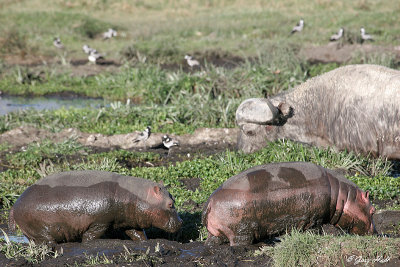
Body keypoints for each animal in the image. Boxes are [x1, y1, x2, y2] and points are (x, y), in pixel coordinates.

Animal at [8, 171, 183, 246]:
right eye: (170, 203)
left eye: (173, 199)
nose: (181, 222)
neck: (136, 195)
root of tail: (14, 205)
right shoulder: (100, 222)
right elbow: (90, 236)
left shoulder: (128, 221)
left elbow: (138, 234)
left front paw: (145, 243)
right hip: (40, 229)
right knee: (46, 241)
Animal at [202, 161, 376, 247]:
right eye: (373, 210)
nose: (376, 233)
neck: (343, 196)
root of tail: (209, 202)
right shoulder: (315, 218)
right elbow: (315, 229)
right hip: (241, 231)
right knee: (238, 243)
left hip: (216, 232)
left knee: (213, 241)